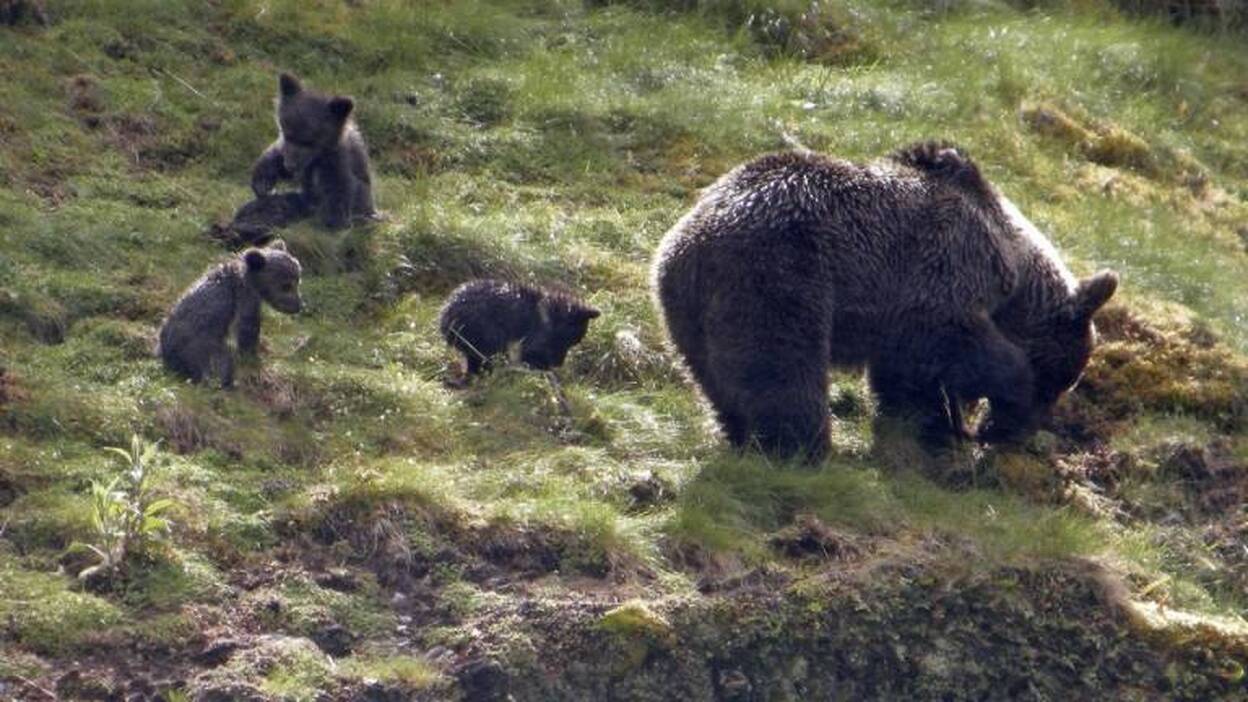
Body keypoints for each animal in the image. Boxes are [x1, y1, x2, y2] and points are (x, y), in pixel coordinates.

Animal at [157, 242, 303, 388]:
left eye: (297, 280)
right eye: (286, 286)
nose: (298, 306)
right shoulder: (244, 298)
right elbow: (247, 329)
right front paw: (253, 359)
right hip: (199, 346)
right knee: (220, 361)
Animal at [249, 72, 375, 231]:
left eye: (310, 141)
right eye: (287, 133)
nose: (290, 165)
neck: (317, 158)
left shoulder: (336, 164)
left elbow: (339, 191)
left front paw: (333, 222)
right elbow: (274, 157)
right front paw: (262, 183)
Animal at [439, 279, 600, 384]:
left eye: (572, 342)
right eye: (569, 340)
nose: (558, 364)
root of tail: (447, 315)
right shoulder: (534, 339)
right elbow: (532, 355)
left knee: (474, 361)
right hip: (486, 334)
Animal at [652, 141, 1118, 460]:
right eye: (1058, 379)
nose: (1011, 432)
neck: (1012, 266)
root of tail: (692, 240)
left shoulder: (900, 313)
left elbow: (908, 376)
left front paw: (925, 424)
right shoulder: (943, 270)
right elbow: (953, 340)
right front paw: (997, 391)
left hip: (686, 309)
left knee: (716, 376)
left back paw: (739, 431)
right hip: (779, 277)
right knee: (782, 366)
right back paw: (801, 447)